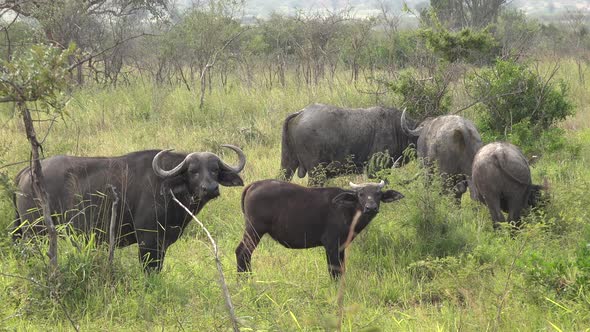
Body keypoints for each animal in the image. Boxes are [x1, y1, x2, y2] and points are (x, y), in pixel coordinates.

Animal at [12, 145, 246, 272]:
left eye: (215, 170)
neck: (167, 187)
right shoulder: (148, 241)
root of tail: (28, 172)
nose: (211, 188)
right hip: (36, 233)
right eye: (193, 171)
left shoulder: (162, 243)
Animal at [236, 179, 408, 278]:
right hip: (254, 229)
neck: (347, 209)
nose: (370, 207)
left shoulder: (341, 247)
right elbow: (334, 271)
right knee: (243, 252)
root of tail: (254, 185)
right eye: (361, 194)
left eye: (378, 194)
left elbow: (341, 270)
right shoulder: (331, 245)